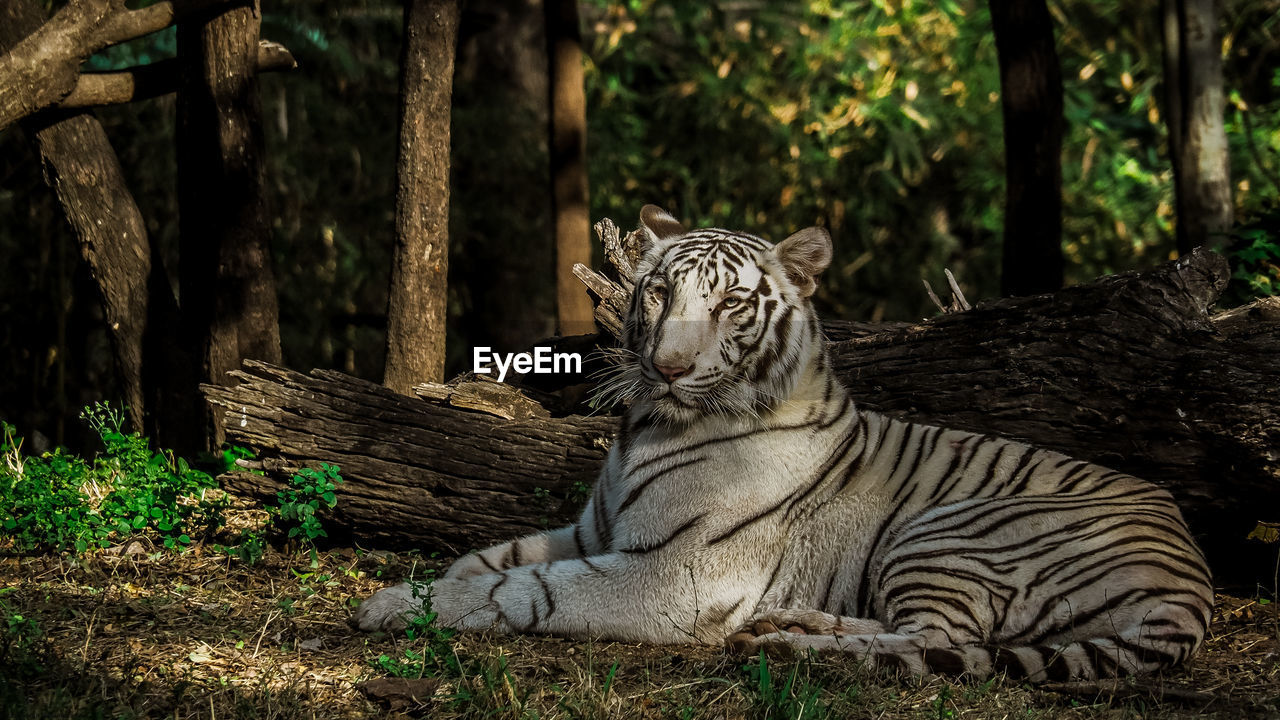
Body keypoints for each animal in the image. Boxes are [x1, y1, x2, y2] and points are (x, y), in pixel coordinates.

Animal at [355, 203, 1213, 676]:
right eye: (658, 292)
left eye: (731, 304)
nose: (667, 367)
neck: (646, 428)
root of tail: (1191, 574)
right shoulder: (593, 531)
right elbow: (489, 558)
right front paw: (420, 586)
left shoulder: (671, 576)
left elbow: (524, 588)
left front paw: (392, 606)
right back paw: (791, 623)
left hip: (950, 531)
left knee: (932, 642)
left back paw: (788, 649)